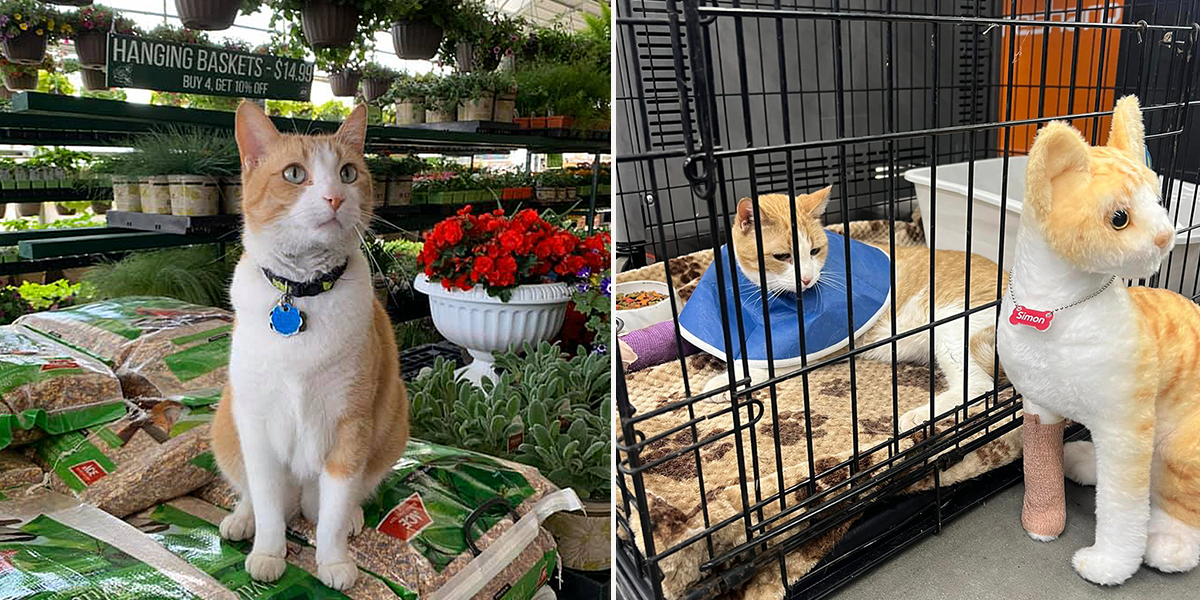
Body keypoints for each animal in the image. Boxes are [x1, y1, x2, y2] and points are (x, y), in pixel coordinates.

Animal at [211, 100, 408, 588]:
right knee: (255, 495)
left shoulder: (350, 426)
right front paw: (268, 552)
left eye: (349, 173)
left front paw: (333, 561)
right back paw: (242, 519)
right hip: (227, 423)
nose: (335, 197)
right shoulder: (256, 425)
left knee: (335, 502)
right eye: (295, 174)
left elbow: (333, 512)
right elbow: (265, 500)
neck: (300, 293)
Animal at [681, 187, 1008, 432]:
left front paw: (726, 384)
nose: (806, 279)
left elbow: (767, 367)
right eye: (782, 256)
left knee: (980, 385)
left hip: (951, 325)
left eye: (814, 251)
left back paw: (921, 415)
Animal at [993, 97, 1200, 585]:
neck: (1056, 309)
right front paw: (1043, 522)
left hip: (1182, 446)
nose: (1165, 236)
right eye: (1119, 218)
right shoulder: (1039, 403)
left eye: (1159, 200)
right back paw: (1083, 460)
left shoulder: (1126, 427)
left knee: (1178, 499)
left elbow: (1123, 507)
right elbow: (1040, 462)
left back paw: (1170, 543)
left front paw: (1109, 564)